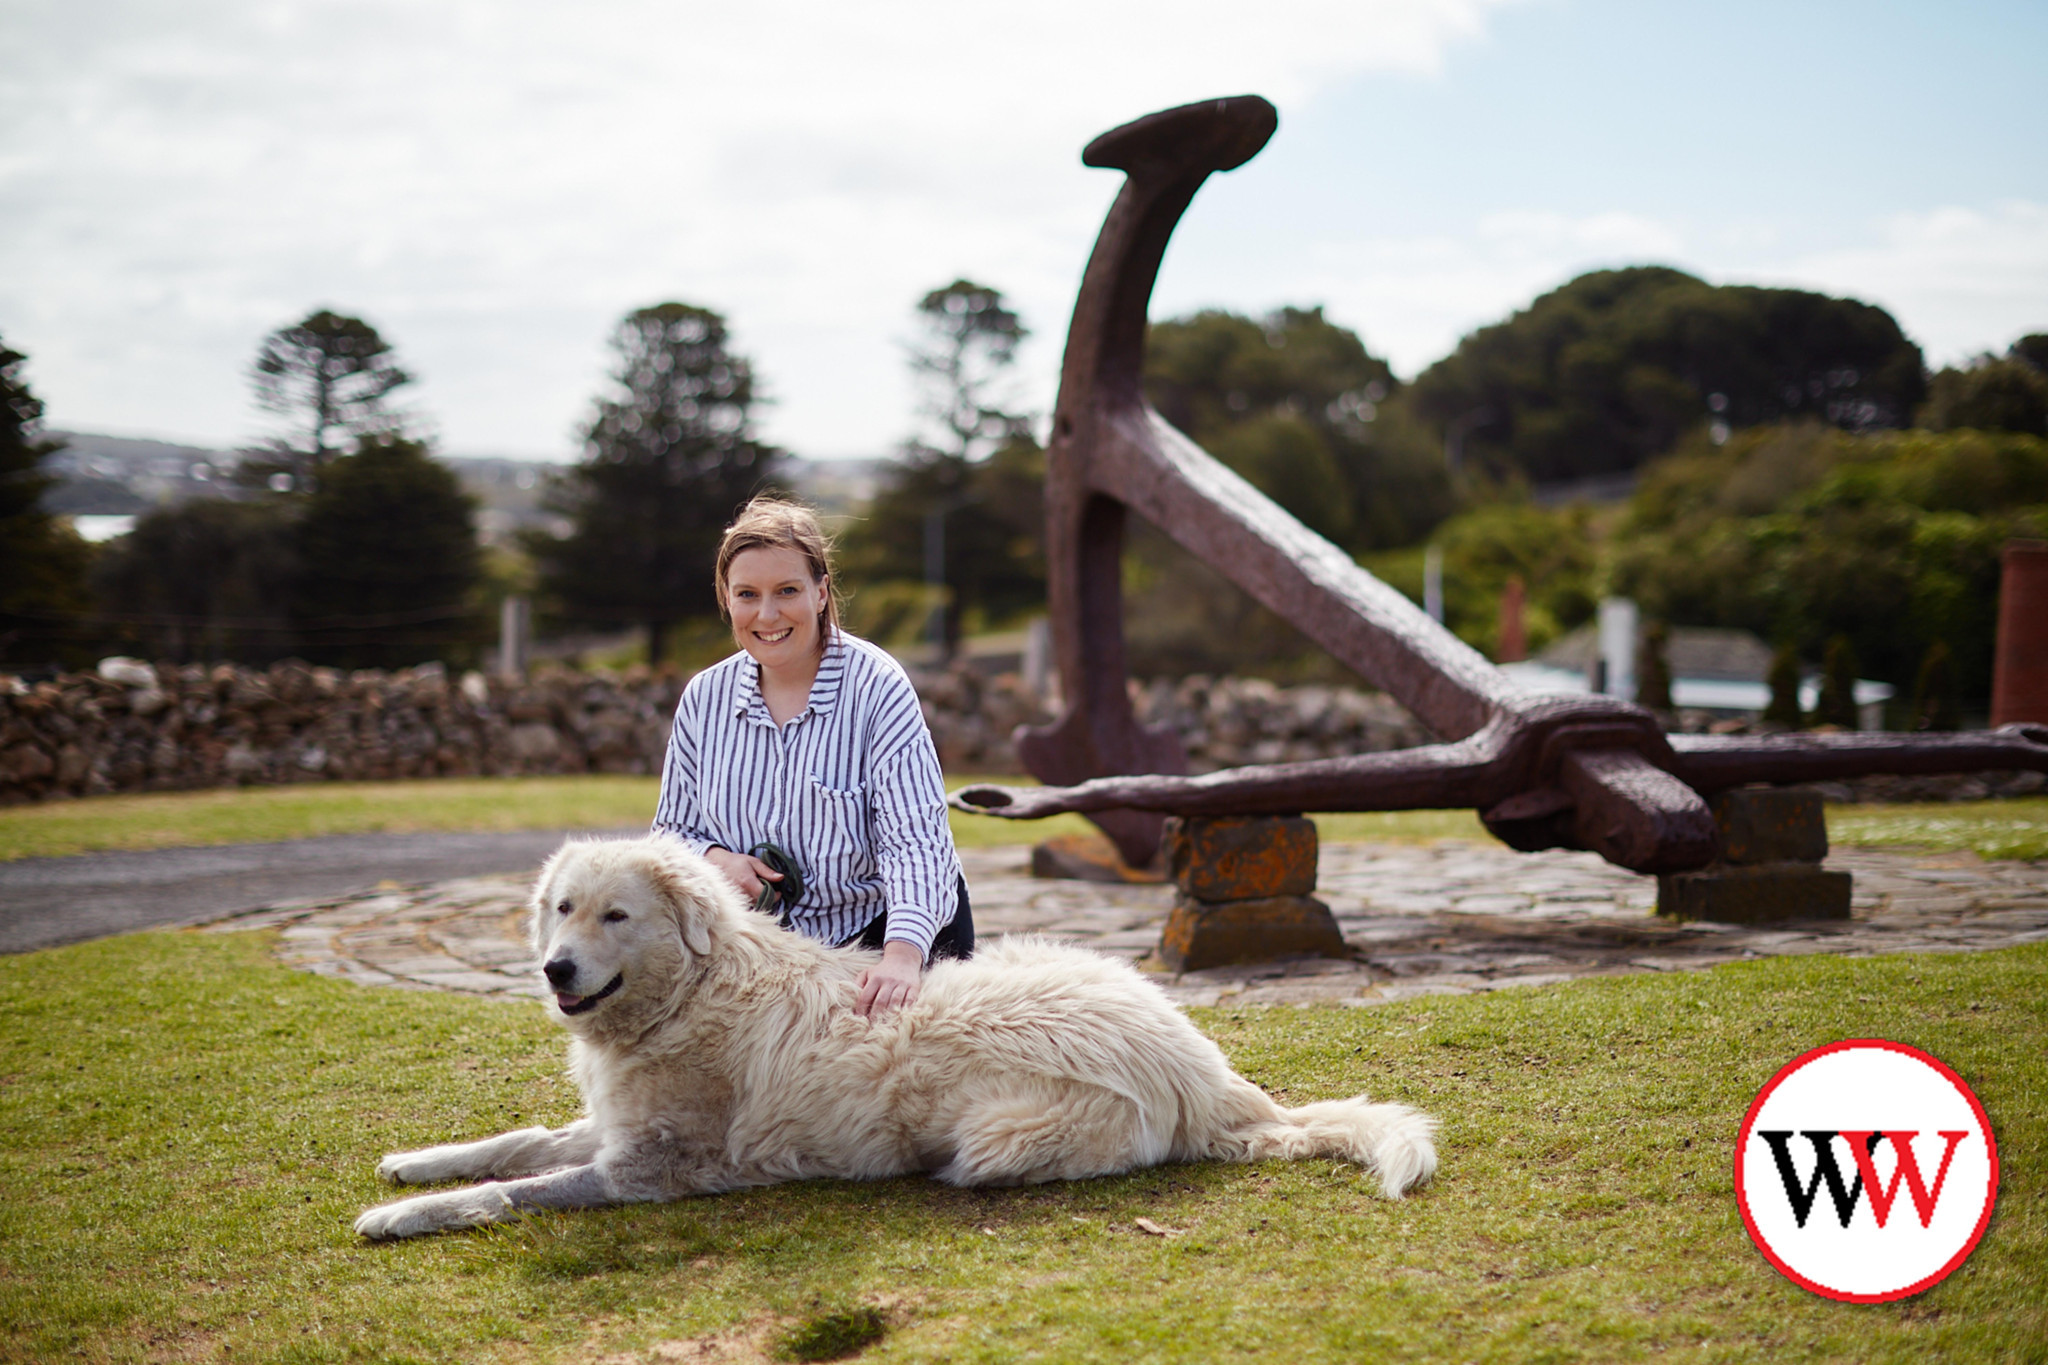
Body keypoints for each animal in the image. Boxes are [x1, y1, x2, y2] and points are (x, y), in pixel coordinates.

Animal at [352, 834, 1433, 1236]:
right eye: (563, 910)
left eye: (616, 917)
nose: (555, 970)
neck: (694, 990)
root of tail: (1205, 1070)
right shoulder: (615, 1126)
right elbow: (517, 1140)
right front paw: (415, 1163)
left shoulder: (645, 1171)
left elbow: (511, 1190)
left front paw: (403, 1215)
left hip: (992, 1140)